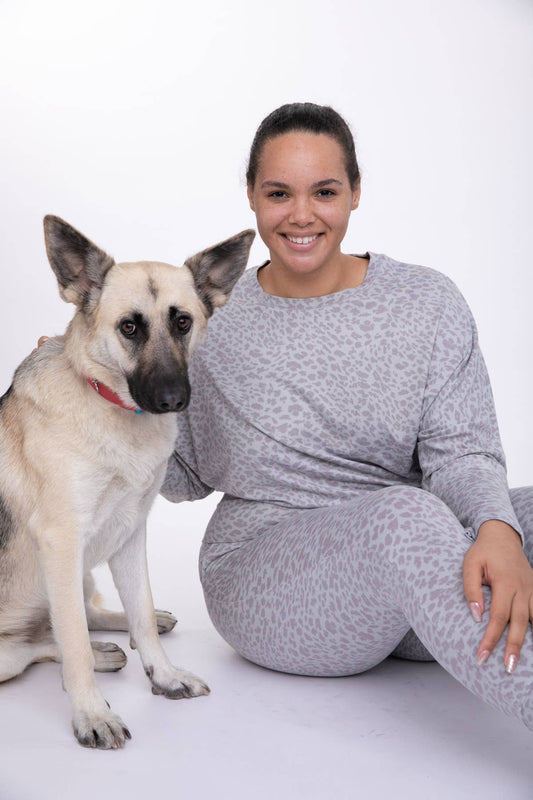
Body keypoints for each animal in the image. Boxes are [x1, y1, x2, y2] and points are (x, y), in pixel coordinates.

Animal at [0, 214, 254, 752]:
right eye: (129, 327)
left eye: (183, 322)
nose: (173, 399)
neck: (108, 405)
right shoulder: (62, 543)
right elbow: (72, 640)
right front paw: (92, 713)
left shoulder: (130, 534)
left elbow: (139, 607)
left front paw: (164, 674)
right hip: (17, 639)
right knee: (44, 641)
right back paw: (99, 654)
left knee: (79, 616)